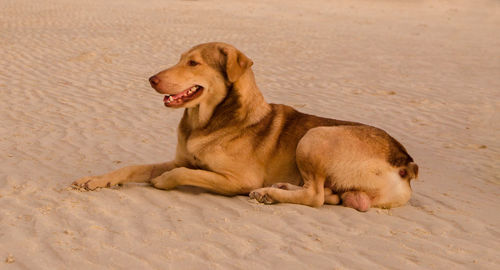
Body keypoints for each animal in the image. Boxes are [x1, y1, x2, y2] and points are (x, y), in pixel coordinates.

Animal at [73, 41, 418, 211]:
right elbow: (132, 167)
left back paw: (269, 194)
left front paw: (164, 181)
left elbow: (184, 173)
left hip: (315, 135)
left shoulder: (237, 179)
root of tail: (405, 162)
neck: (208, 121)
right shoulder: (179, 157)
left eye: (193, 63)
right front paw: (95, 180)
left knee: (316, 196)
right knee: (329, 195)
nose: (151, 79)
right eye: (180, 58)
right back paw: (277, 190)